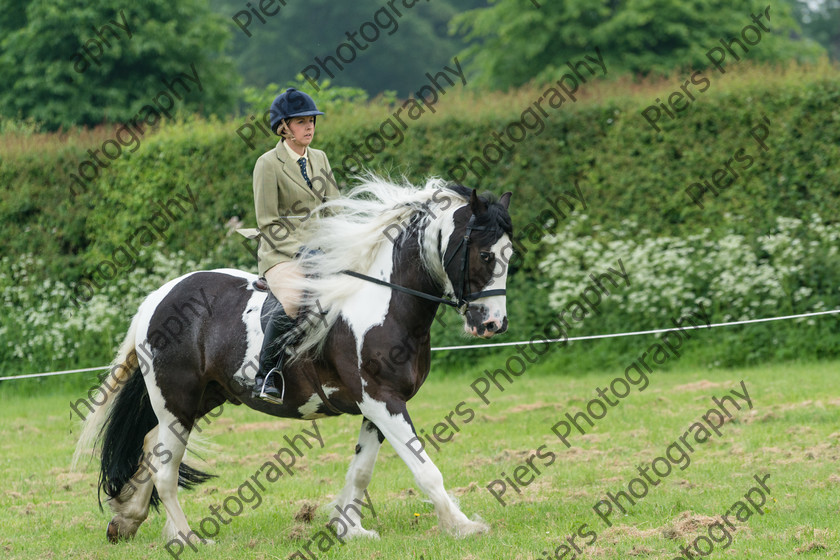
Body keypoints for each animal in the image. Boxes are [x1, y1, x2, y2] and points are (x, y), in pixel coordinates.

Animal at [74, 178, 512, 548]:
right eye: (485, 254)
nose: (493, 324)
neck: (383, 303)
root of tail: (158, 297)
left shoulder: (379, 405)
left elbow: (361, 470)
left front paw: (348, 528)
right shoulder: (382, 400)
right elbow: (424, 469)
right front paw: (462, 526)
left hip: (203, 399)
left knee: (151, 449)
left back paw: (127, 519)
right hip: (176, 402)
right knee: (165, 471)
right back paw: (187, 539)